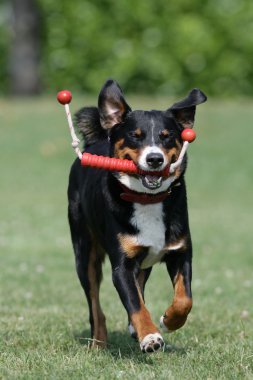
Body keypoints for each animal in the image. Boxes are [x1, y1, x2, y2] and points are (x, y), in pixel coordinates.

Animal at [67, 80, 208, 354]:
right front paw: (150, 336)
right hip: (84, 254)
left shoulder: (180, 252)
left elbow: (184, 298)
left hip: (144, 263)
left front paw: (169, 320)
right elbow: (134, 304)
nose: (155, 159)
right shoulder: (122, 265)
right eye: (136, 135)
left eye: (167, 136)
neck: (147, 201)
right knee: (95, 307)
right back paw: (99, 342)